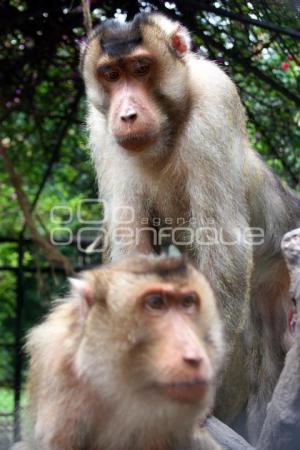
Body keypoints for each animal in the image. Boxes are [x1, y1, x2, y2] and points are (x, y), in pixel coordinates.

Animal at [81, 12, 300, 442]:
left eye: (141, 67)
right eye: (110, 74)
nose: (126, 115)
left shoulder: (215, 101)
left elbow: (226, 247)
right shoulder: (101, 130)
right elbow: (132, 249)